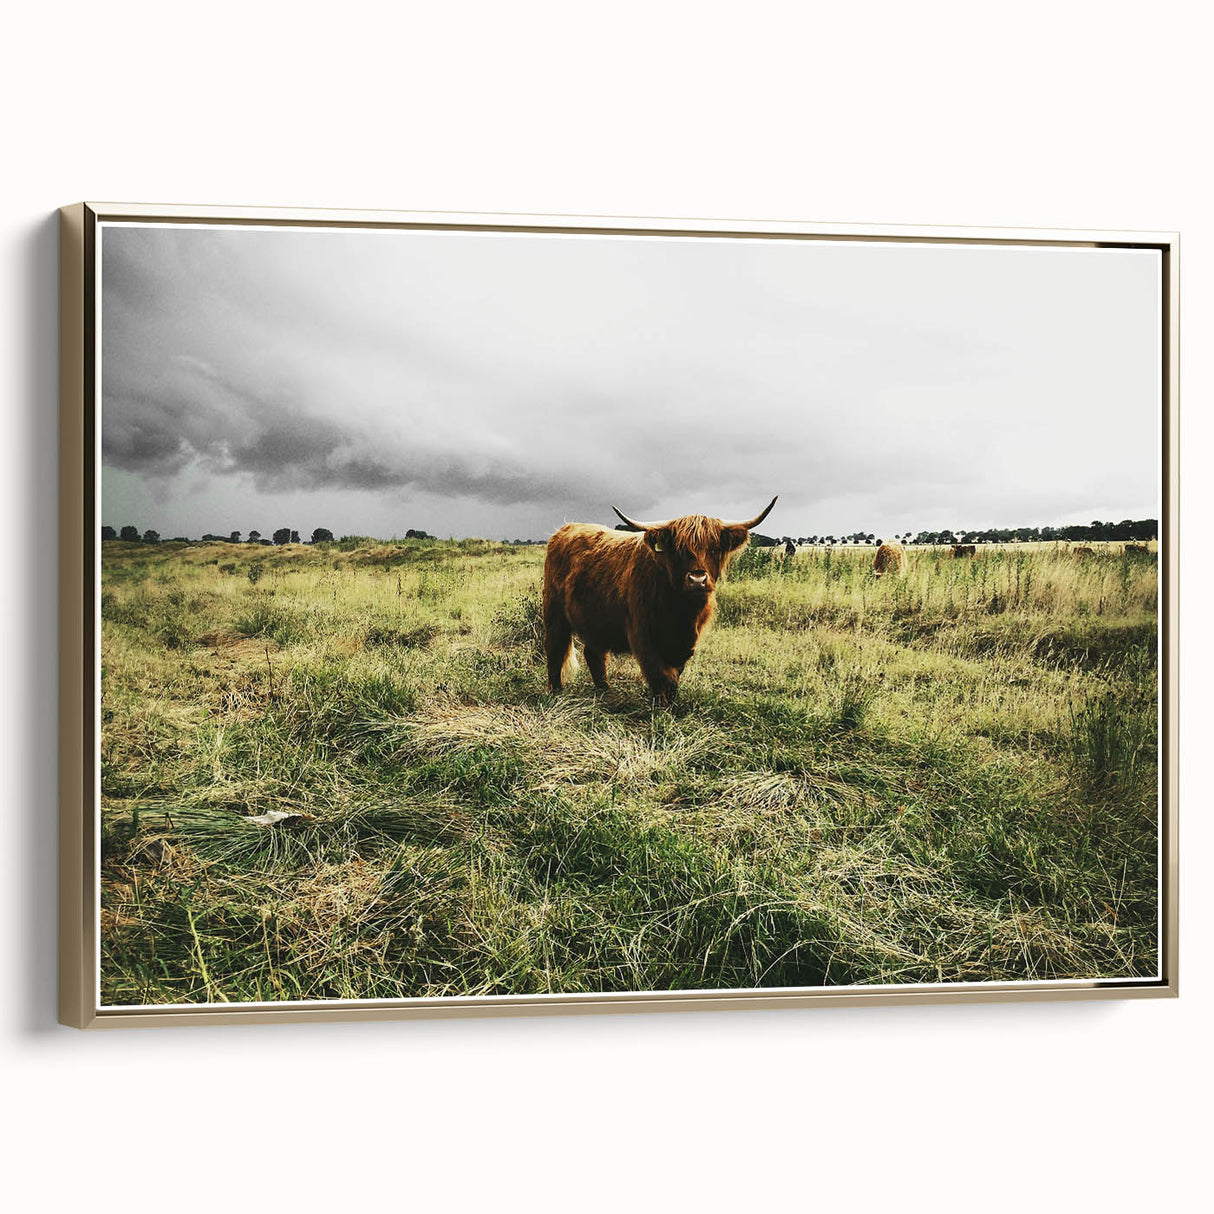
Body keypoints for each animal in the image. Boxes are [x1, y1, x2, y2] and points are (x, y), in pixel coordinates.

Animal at [543, 497, 778, 704]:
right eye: (679, 550)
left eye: (714, 548)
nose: (697, 580)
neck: (681, 613)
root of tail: (565, 529)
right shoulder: (643, 636)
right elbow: (659, 674)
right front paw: (661, 708)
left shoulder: (685, 643)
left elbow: (674, 675)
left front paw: (671, 704)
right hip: (554, 613)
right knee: (555, 648)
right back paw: (556, 692)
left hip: (596, 620)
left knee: (594, 653)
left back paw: (605, 691)